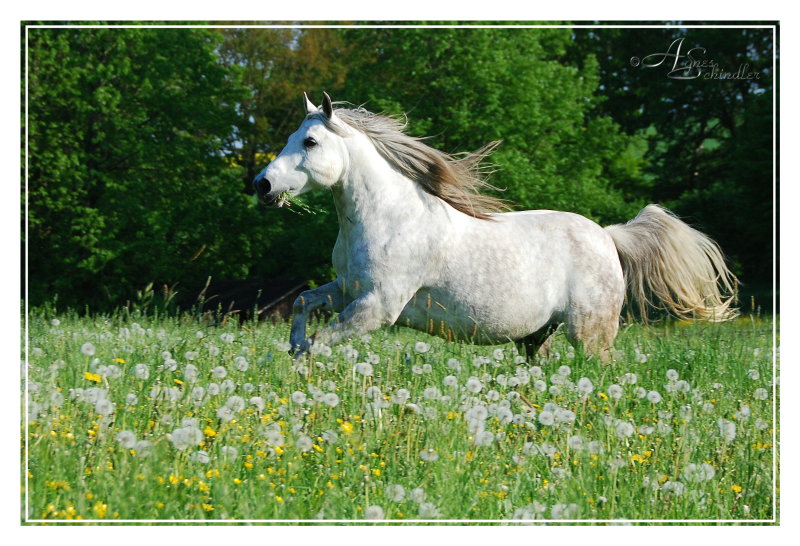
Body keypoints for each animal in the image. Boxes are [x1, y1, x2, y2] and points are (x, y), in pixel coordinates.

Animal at [253, 91, 736, 360]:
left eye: (310, 141)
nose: (262, 184)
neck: (389, 219)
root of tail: (608, 236)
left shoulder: (377, 306)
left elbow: (320, 341)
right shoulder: (346, 289)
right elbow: (303, 303)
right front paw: (291, 350)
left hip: (591, 334)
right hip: (535, 339)